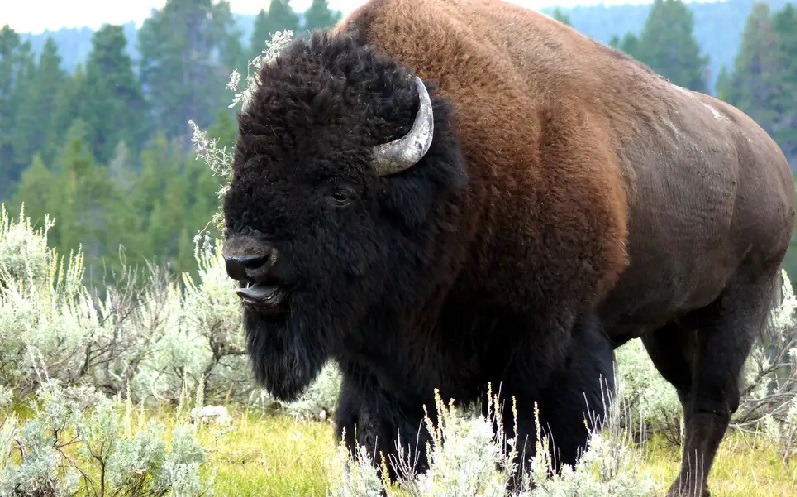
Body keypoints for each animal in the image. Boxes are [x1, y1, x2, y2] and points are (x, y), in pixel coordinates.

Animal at [220, 0, 796, 495]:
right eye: (240, 175)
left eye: (339, 189)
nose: (245, 261)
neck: (458, 166)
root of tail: (771, 157)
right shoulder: (380, 363)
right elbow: (381, 437)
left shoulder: (552, 343)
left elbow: (536, 439)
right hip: (669, 327)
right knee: (691, 393)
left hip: (735, 307)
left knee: (711, 402)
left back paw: (686, 488)